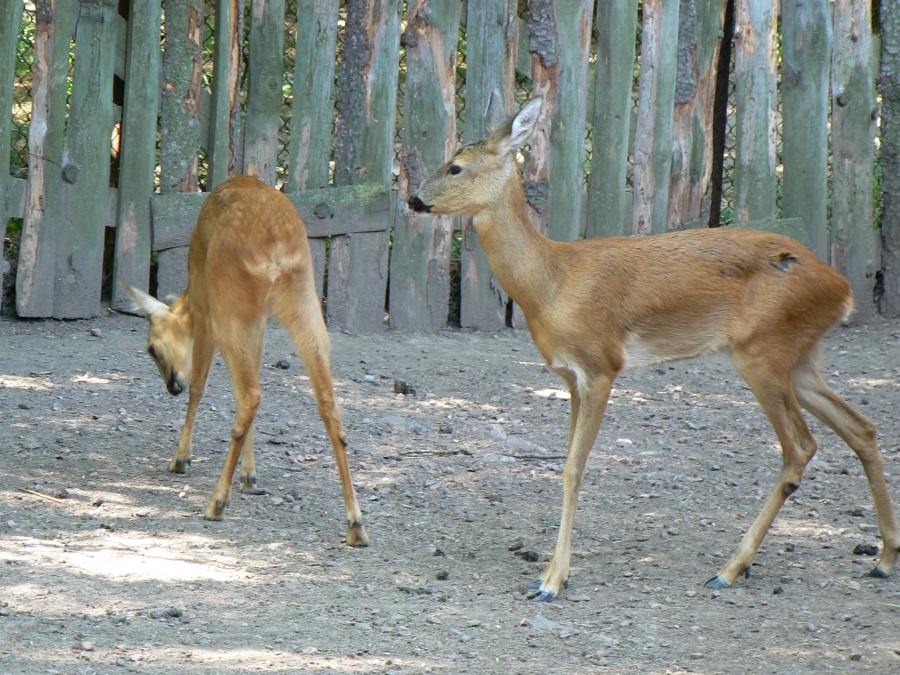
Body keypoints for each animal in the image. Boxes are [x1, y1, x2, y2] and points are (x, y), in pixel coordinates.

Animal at [123, 176, 370, 548]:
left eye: (151, 348)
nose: (171, 387)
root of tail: (275, 250)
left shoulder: (205, 305)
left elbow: (200, 385)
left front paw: (181, 458)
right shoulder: (260, 320)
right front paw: (250, 476)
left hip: (228, 302)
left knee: (249, 394)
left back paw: (216, 503)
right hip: (304, 303)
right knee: (325, 400)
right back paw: (356, 525)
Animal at [410, 93, 900, 604]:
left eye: (456, 166)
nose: (414, 199)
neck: (551, 284)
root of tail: (843, 289)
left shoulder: (601, 365)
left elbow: (573, 469)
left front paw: (552, 580)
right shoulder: (570, 377)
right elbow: (565, 464)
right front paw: (549, 572)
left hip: (761, 351)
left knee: (801, 446)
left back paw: (729, 569)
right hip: (799, 356)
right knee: (861, 427)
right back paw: (884, 559)